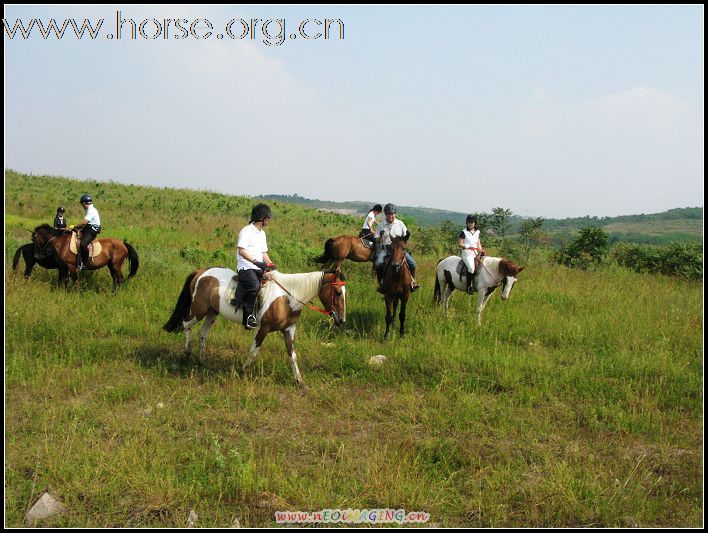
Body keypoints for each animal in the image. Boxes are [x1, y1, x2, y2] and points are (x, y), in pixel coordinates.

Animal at [163, 266, 346, 386]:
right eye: (337, 293)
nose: (341, 320)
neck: (286, 298)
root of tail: (201, 272)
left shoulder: (289, 330)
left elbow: (292, 355)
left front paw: (299, 381)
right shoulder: (263, 328)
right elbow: (253, 351)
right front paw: (242, 371)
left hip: (212, 312)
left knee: (202, 332)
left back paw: (202, 360)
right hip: (199, 311)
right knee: (186, 323)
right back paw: (187, 353)